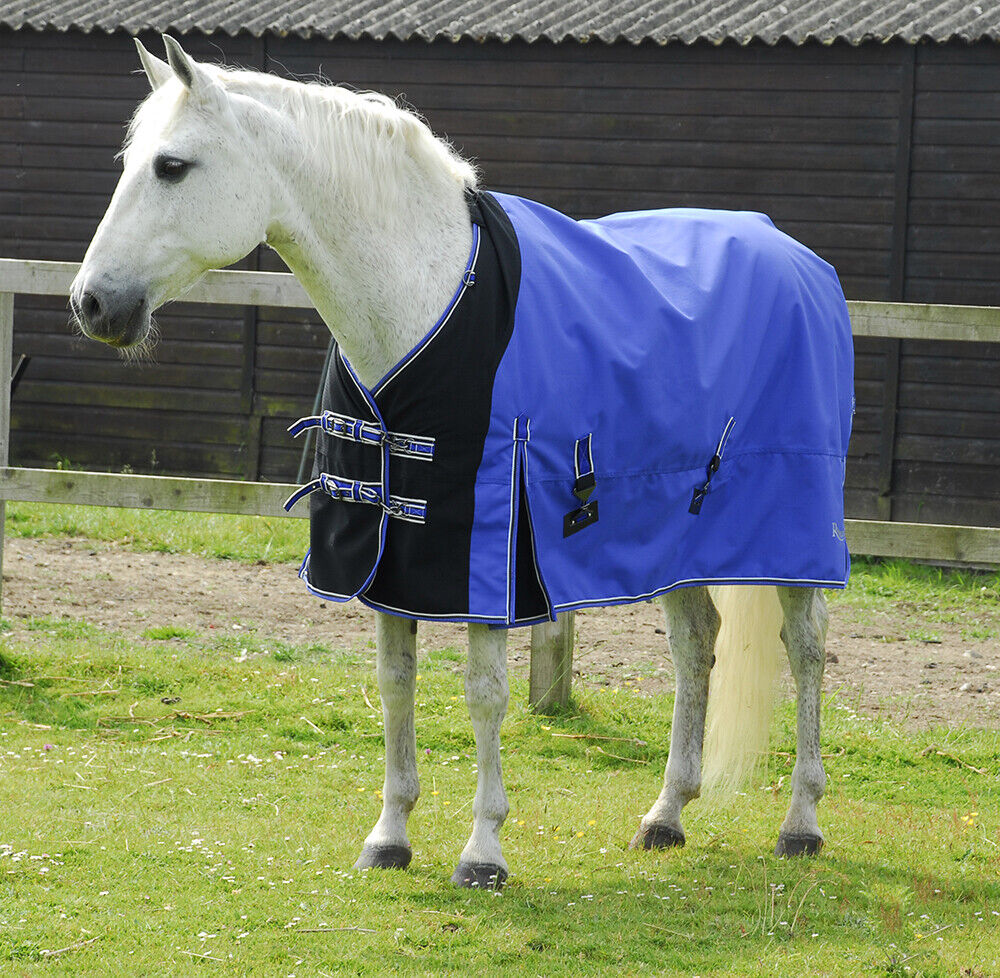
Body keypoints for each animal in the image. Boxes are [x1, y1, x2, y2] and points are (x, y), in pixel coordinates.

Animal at [70, 36, 851, 889]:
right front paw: (389, 836)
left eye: (173, 166)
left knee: (806, 650)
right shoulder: (390, 553)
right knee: (696, 644)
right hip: (675, 533)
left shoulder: (484, 560)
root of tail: (797, 258)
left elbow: (484, 694)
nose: (91, 305)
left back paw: (803, 822)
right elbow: (395, 685)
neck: (422, 295)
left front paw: (483, 851)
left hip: (791, 531)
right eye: (129, 161)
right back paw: (666, 815)